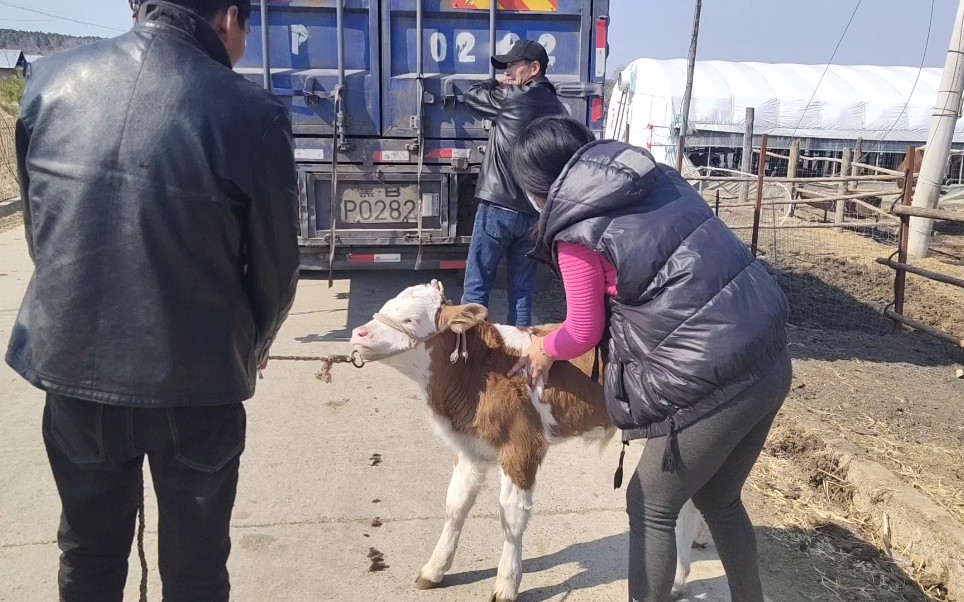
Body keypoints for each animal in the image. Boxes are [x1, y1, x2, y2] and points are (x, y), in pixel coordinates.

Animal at [350, 282, 704, 600]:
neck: (479, 371)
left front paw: (507, 584)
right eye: (386, 306)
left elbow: (511, 516)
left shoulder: (521, 446)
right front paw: (434, 569)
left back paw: (678, 577)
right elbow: (455, 504)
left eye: (410, 319)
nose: (358, 333)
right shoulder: (470, 449)